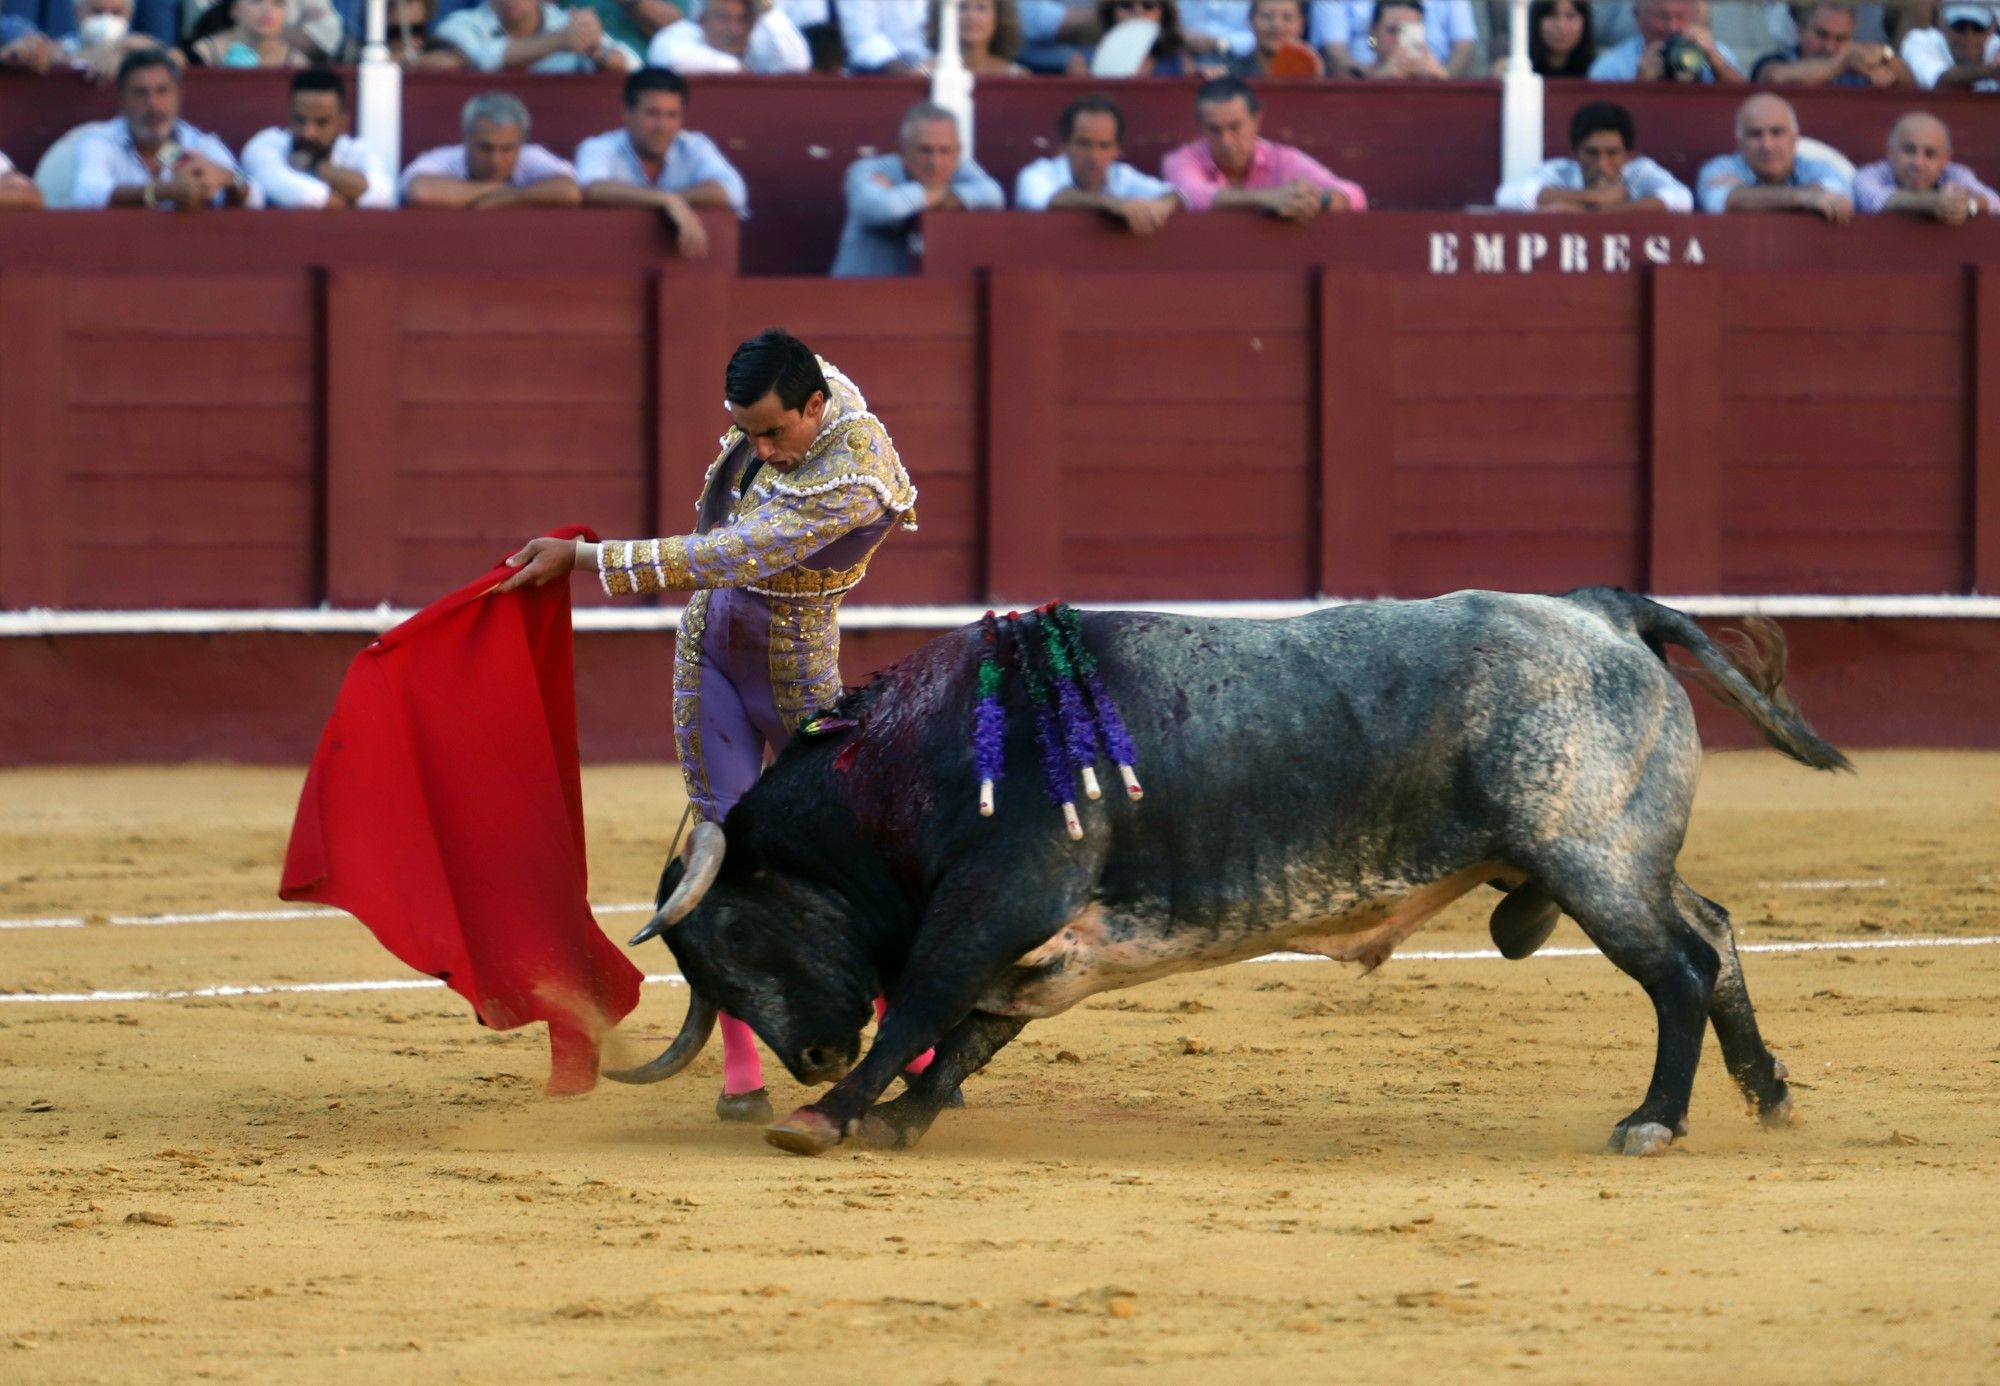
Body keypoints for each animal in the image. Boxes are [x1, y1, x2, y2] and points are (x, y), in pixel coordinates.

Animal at [600, 584, 1848, 1160]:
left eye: (735, 934)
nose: (813, 1052)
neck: (911, 762)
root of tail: (1601, 610)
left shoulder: (998, 897)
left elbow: (923, 1001)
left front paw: (827, 1115)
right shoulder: (1052, 945)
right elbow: (967, 1030)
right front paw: (901, 1117)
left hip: (1587, 859)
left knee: (1673, 970)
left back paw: (1653, 1121)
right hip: (1624, 856)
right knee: (1714, 931)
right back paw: (1767, 1094)